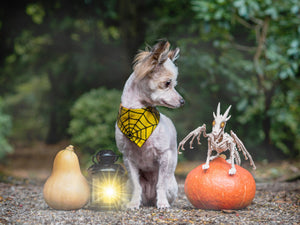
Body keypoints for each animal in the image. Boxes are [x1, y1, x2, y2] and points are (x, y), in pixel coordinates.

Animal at [116, 40, 184, 209]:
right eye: (167, 83)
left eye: (174, 84)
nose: (182, 101)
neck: (136, 111)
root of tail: (149, 199)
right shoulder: (129, 158)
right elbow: (137, 185)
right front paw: (134, 203)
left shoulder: (165, 156)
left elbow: (161, 183)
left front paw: (163, 203)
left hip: (172, 186)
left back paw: (159, 201)